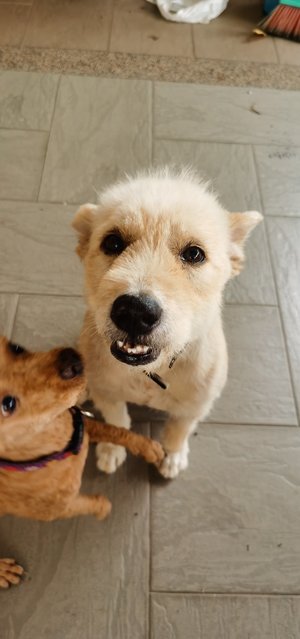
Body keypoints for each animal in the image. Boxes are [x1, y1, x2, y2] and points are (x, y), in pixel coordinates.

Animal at [0, 336, 164, 592]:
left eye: (16, 348)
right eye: (7, 404)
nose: (70, 360)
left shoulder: (81, 423)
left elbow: (117, 431)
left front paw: (147, 448)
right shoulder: (57, 509)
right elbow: (88, 504)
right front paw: (103, 507)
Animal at [73, 170, 262, 480]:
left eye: (195, 254)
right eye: (113, 243)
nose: (134, 311)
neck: (151, 373)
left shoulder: (197, 404)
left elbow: (179, 430)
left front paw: (172, 455)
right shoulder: (108, 393)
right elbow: (116, 420)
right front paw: (113, 448)